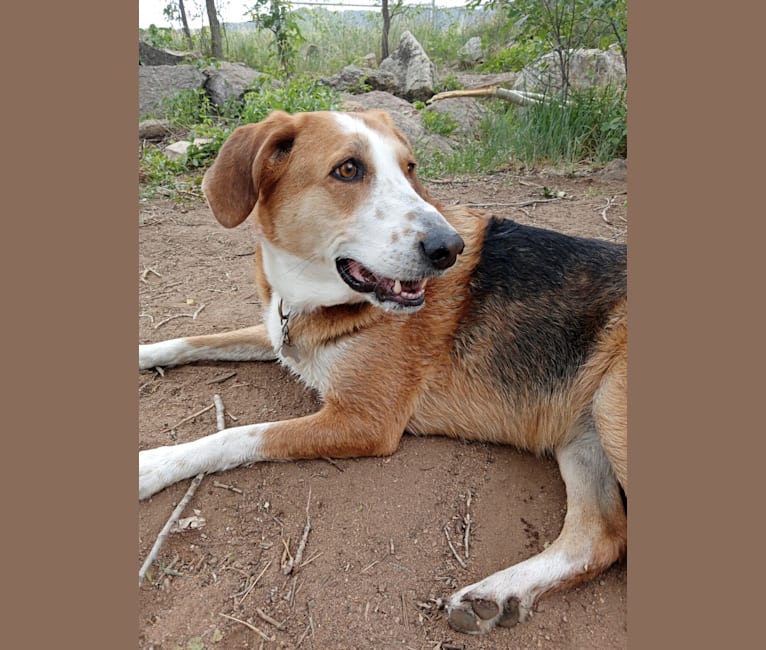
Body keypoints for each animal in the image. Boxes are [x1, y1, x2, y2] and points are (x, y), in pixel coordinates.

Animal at [140, 109, 632, 632]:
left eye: (409, 167)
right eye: (348, 169)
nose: (450, 248)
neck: (316, 297)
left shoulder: (365, 422)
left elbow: (235, 435)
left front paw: (153, 465)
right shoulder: (277, 329)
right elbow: (194, 340)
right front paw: (143, 353)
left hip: (613, 410)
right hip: (584, 433)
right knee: (599, 536)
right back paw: (497, 593)